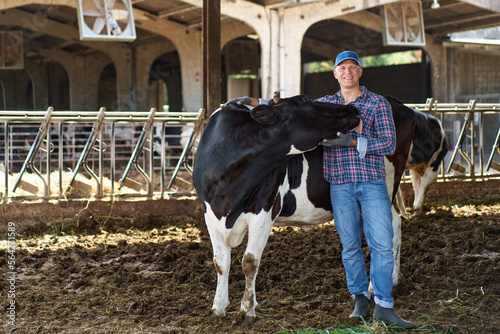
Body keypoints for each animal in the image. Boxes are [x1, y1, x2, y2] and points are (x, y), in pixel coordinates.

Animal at [191, 94, 414, 326]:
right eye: (307, 100)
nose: (352, 108)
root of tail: (396, 102)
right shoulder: (210, 215)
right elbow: (220, 263)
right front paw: (218, 307)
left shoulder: (264, 211)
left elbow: (249, 262)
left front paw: (246, 309)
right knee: (395, 223)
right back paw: (394, 279)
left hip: (385, 186)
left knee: (386, 231)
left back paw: (376, 287)